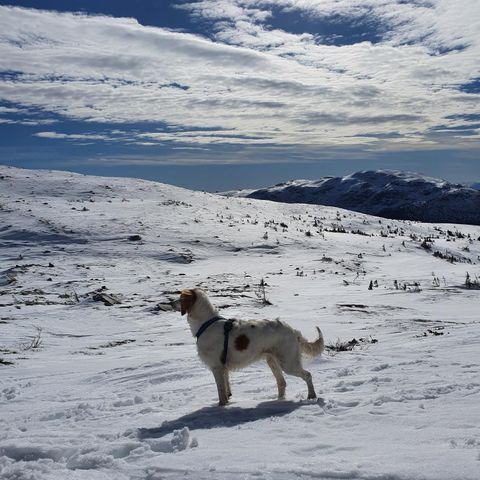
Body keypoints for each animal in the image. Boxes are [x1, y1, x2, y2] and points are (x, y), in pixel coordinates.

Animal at [171, 288, 324, 404]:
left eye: (180, 298)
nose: (171, 303)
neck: (206, 323)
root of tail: (293, 330)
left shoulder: (217, 367)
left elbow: (221, 392)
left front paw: (220, 407)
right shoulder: (223, 368)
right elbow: (227, 389)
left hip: (288, 363)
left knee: (307, 375)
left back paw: (311, 396)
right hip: (273, 361)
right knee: (282, 382)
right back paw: (278, 401)